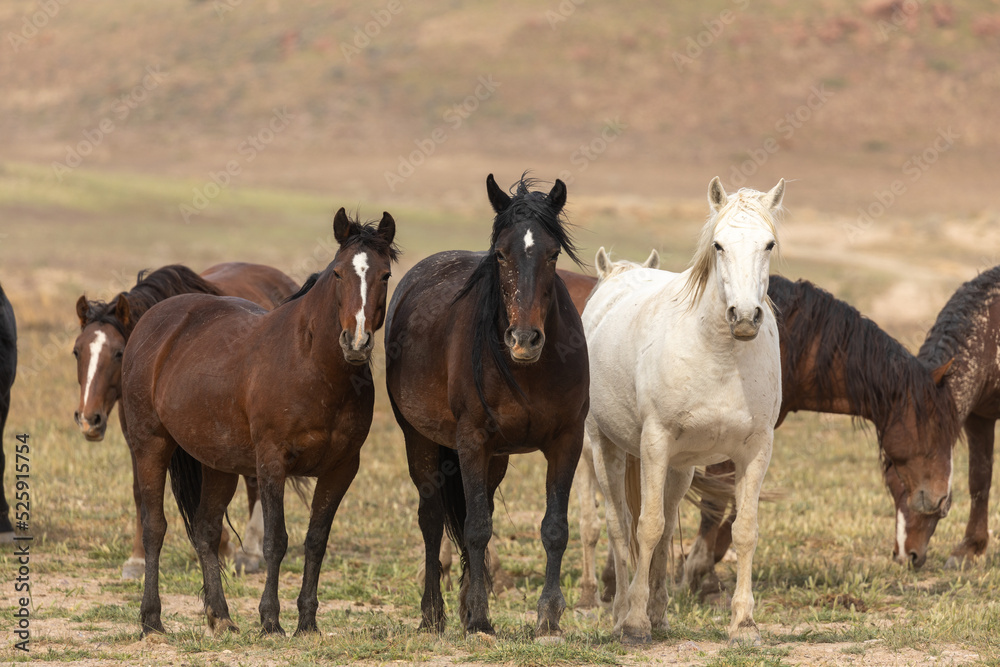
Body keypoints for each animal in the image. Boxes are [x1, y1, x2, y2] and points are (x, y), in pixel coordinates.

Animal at [74, 260, 296, 580]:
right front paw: (136, 560)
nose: (88, 420)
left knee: (255, 483)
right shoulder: (139, 439)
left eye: (118, 353)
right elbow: (141, 493)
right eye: (76, 351)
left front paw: (226, 547)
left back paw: (251, 552)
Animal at [120, 211, 394, 640]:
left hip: (217, 464)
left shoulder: (341, 469)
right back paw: (151, 620)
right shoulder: (272, 463)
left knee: (206, 530)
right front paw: (270, 620)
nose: (357, 342)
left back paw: (221, 616)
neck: (312, 365)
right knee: (154, 528)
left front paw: (307, 622)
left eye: (385, 275)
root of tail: (155, 320)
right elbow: (275, 542)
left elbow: (316, 541)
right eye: (337, 273)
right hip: (150, 446)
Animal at [380, 175, 584, 640]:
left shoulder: (567, 441)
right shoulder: (471, 441)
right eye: (501, 254)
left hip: (497, 459)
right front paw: (477, 619)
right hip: (420, 441)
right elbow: (475, 528)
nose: (524, 339)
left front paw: (548, 617)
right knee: (432, 519)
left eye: (553, 254)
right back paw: (433, 614)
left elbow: (554, 529)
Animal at [584, 177, 784, 648]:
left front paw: (744, 624)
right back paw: (622, 614)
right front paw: (635, 624)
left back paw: (658, 614)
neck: (721, 355)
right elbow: (647, 527)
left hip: (680, 468)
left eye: (768, 244)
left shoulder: (756, 450)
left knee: (663, 522)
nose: (744, 316)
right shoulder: (654, 442)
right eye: (718, 245)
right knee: (620, 524)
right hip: (606, 448)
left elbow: (744, 530)